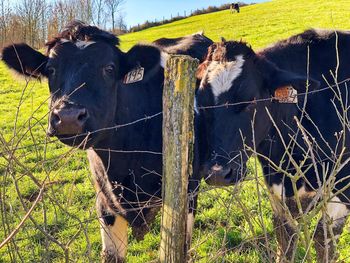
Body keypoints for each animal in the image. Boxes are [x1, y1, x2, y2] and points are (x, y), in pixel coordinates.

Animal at [196, 29, 350, 262]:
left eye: (250, 100)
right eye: (202, 104)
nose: (217, 173)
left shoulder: (341, 190)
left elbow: (323, 242)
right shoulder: (278, 193)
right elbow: (285, 239)